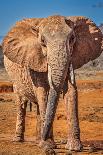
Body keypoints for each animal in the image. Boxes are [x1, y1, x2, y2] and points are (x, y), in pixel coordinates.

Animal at [2, 14, 102, 153]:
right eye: (43, 41)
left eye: (72, 39)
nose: (44, 141)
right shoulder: (33, 61)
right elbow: (42, 92)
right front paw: (48, 146)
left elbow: (71, 91)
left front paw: (74, 148)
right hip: (15, 82)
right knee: (21, 102)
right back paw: (19, 140)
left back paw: (38, 140)